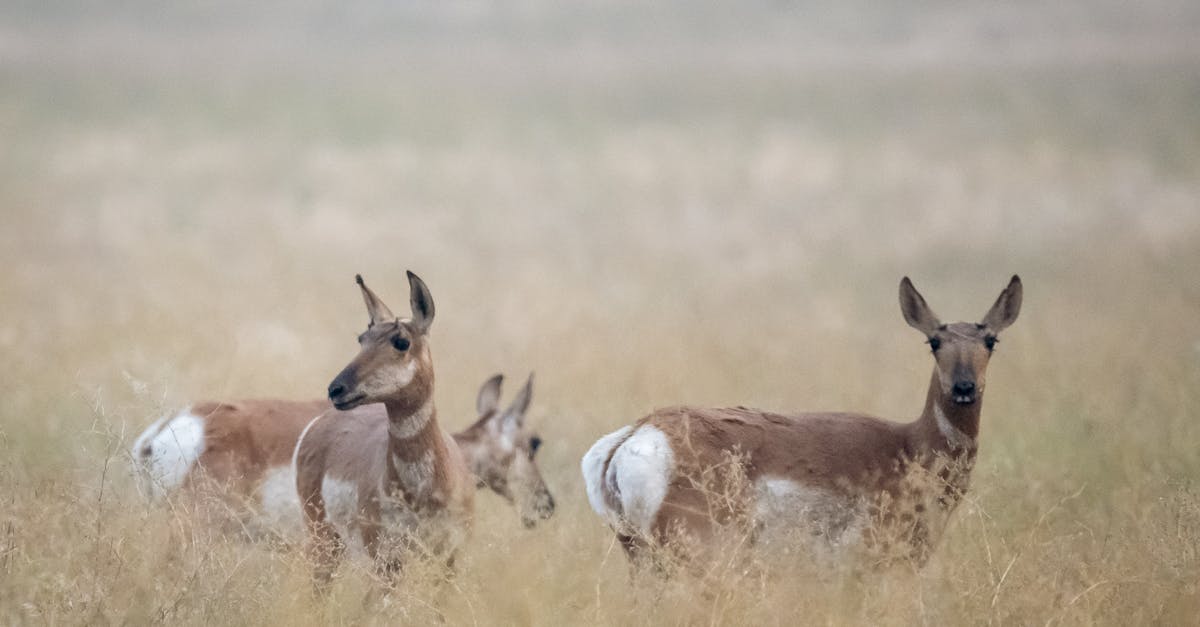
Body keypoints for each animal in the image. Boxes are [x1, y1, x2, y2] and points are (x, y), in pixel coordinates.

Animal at [294, 271, 473, 591]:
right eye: (361, 339)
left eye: (401, 341)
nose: (336, 389)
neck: (423, 491)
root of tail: (319, 423)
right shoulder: (387, 563)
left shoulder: (450, 563)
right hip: (323, 542)